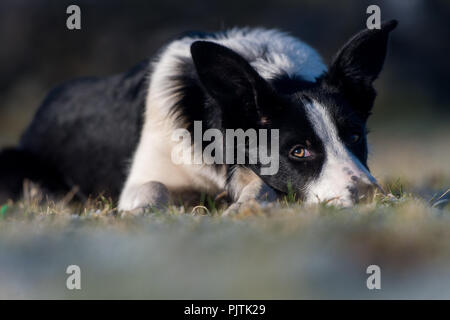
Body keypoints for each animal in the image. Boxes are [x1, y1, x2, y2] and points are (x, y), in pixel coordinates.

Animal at [0, 20, 396, 212]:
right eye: (299, 151)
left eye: (355, 137)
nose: (373, 199)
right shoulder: (145, 176)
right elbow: (154, 189)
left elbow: (262, 186)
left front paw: (247, 205)